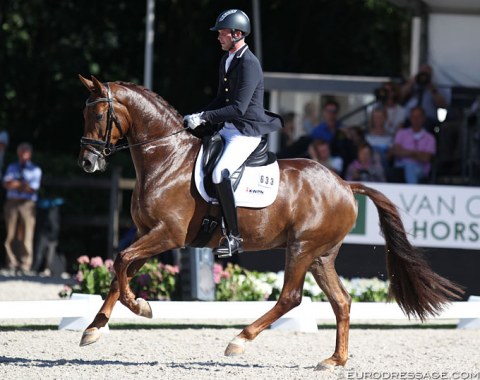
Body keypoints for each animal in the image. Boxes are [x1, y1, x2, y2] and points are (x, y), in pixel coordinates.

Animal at [78, 75, 462, 370]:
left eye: (99, 113)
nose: (87, 163)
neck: (167, 159)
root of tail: (344, 184)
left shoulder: (166, 235)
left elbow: (122, 261)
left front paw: (139, 307)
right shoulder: (148, 233)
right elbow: (120, 270)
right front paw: (94, 328)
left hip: (301, 247)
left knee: (291, 297)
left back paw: (239, 340)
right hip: (321, 255)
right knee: (342, 301)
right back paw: (334, 360)